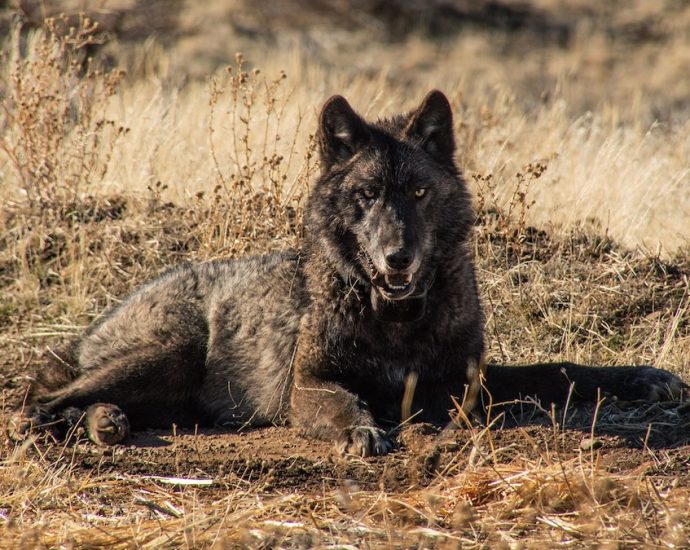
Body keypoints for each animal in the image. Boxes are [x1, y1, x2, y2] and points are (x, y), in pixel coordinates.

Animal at [10, 90, 685, 456]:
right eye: (366, 195)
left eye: (417, 192)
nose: (397, 258)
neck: (396, 318)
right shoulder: (309, 385)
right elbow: (343, 402)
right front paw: (362, 432)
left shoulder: (466, 380)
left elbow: (562, 371)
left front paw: (643, 378)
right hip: (171, 352)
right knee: (37, 399)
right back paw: (70, 425)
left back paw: (105, 423)